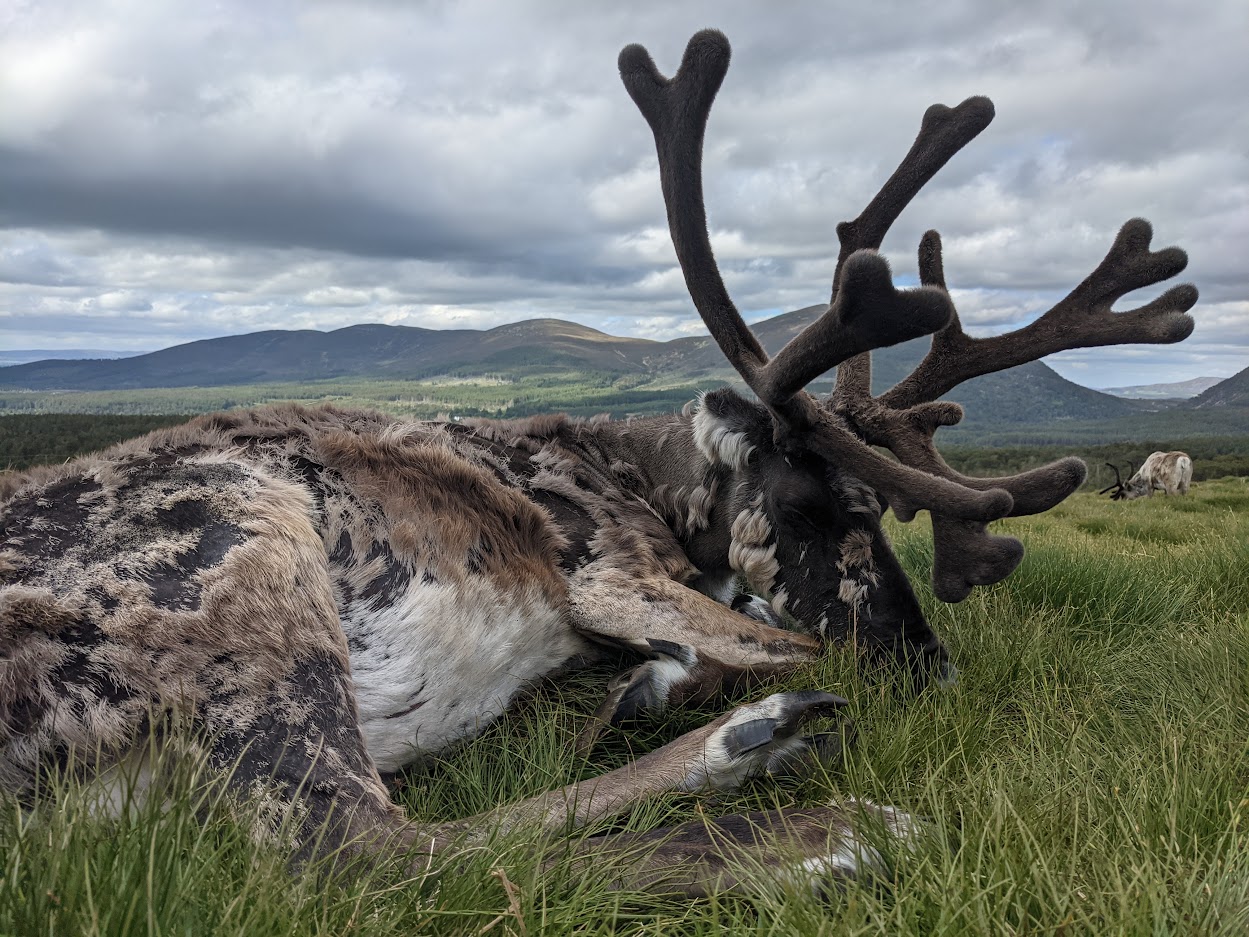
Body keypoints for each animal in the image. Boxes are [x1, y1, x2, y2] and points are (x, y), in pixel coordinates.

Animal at [0, 30, 1197, 897]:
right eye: (824, 504)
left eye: (885, 509)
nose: (929, 668)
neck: (640, 475)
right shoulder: (608, 573)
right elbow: (787, 635)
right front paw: (671, 686)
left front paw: (643, 687)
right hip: (246, 548)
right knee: (363, 850)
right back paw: (802, 801)